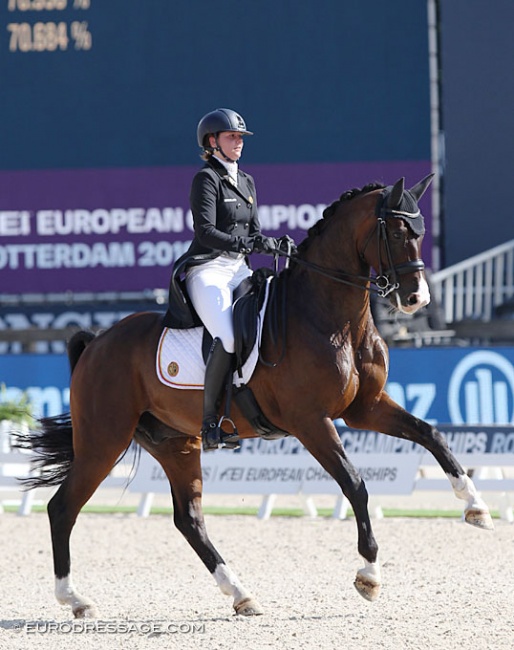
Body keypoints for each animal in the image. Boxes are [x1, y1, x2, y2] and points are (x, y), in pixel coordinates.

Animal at [21, 173, 492, 616]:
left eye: (421, 231)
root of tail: (97, 342)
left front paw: (475, 507)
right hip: (104, 440)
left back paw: (241, 595)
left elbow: (433, 435)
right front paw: (369, 575)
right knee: (62, 508)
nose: (417, 299)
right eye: (395, 232)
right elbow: (355, 485)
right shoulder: (311, 421)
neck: (328, 317)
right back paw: (75, 599)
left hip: (175, 443)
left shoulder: (366, 409)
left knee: (189, 520)